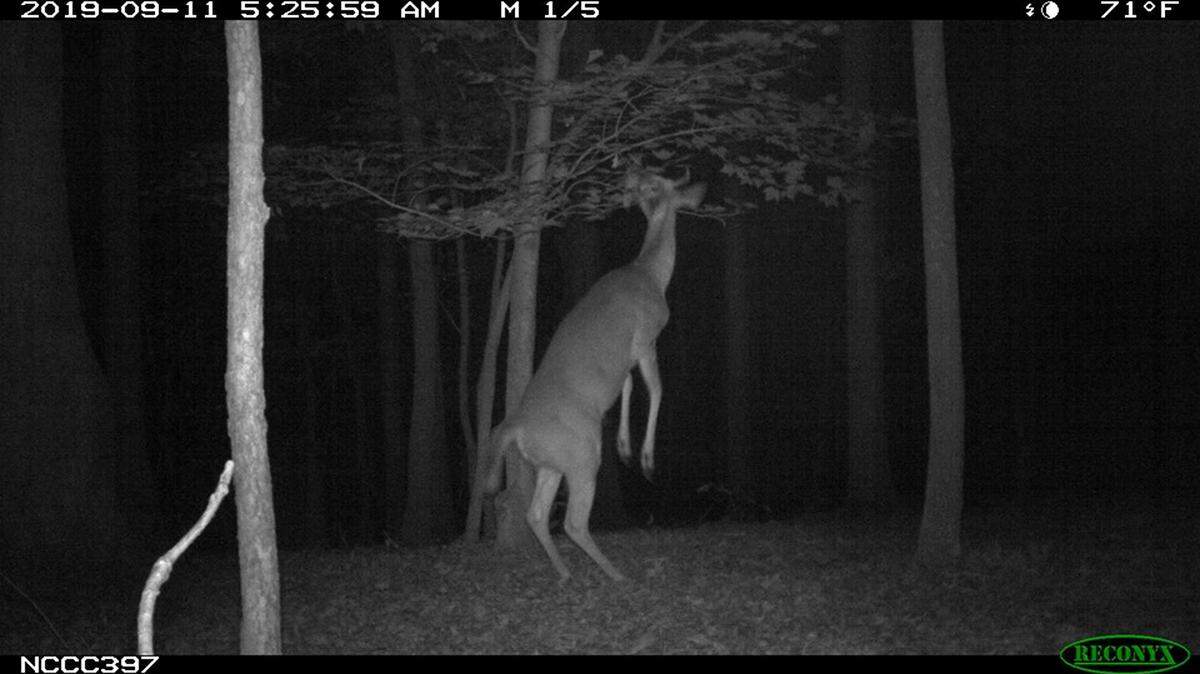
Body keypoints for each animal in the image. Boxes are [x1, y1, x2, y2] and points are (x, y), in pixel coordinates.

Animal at [485, 171, 705, 582]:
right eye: (657, 182)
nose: (632, 174)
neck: (649, 273)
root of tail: (514, 427)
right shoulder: (646, 336)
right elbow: (655, 388)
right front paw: (645, 459)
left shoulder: (629, 356)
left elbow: (629, 385)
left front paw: (625, 447)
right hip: (582, 456)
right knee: (572, 522)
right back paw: (615, 574)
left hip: (551, 461)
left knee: (536, 514)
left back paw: (565, 573)